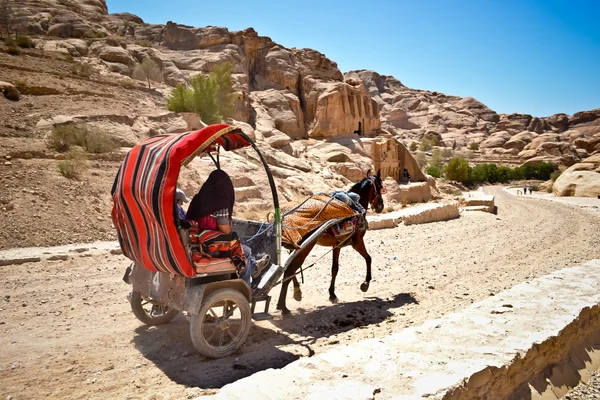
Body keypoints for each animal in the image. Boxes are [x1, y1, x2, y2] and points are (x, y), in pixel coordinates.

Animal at [276, 170, 384, 314]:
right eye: (380, 186)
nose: (381, 206)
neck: (354, 208)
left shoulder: (336, 245)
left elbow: (334, 269)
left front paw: (332, 294)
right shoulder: (357, 242)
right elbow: (369, 259)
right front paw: (365, 283)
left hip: (295, 248)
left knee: (289, 270)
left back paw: (296, 293)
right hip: (305, 248)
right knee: (289, 271)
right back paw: (283, 306)